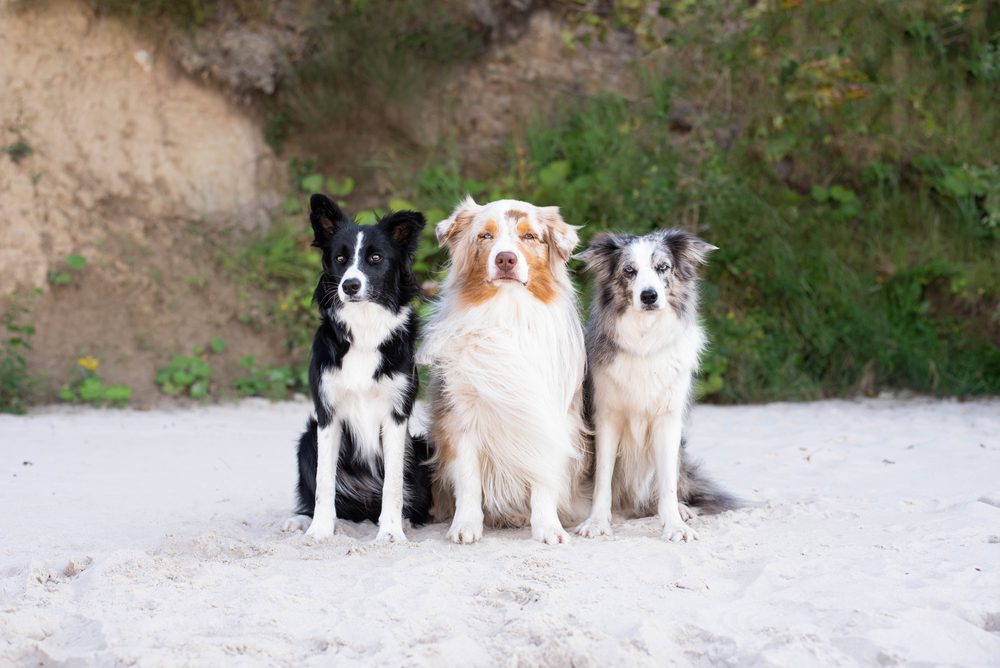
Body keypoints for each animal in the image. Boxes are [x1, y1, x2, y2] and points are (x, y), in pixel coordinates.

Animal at [286, 193, 434, 544]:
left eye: (376, 258)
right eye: (340, 258)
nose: (350, 285)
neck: (364, 330)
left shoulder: (396, 415)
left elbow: (393, 483)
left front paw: (391, 532)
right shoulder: (327, 415)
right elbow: (324, 483)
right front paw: (319, 530)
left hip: (421, 448)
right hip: (307, 440)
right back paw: (301, 520)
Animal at [418, 196, 588, 544]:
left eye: (529, 236)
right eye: (485, 236)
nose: (506, 258)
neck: (507, 313)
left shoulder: (548, 414)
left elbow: (543, 477)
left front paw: (548, 527)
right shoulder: (460, 417)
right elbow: (468, 479)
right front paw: (465, 526)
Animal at [572, 230, 736, 544]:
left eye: (663, 267)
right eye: (629, 271)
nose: (649, 295)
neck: (644, 340)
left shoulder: (668, 419)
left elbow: (668, 483)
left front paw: (675, 525)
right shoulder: (606, 417)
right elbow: (602, 479)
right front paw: (597, 522)